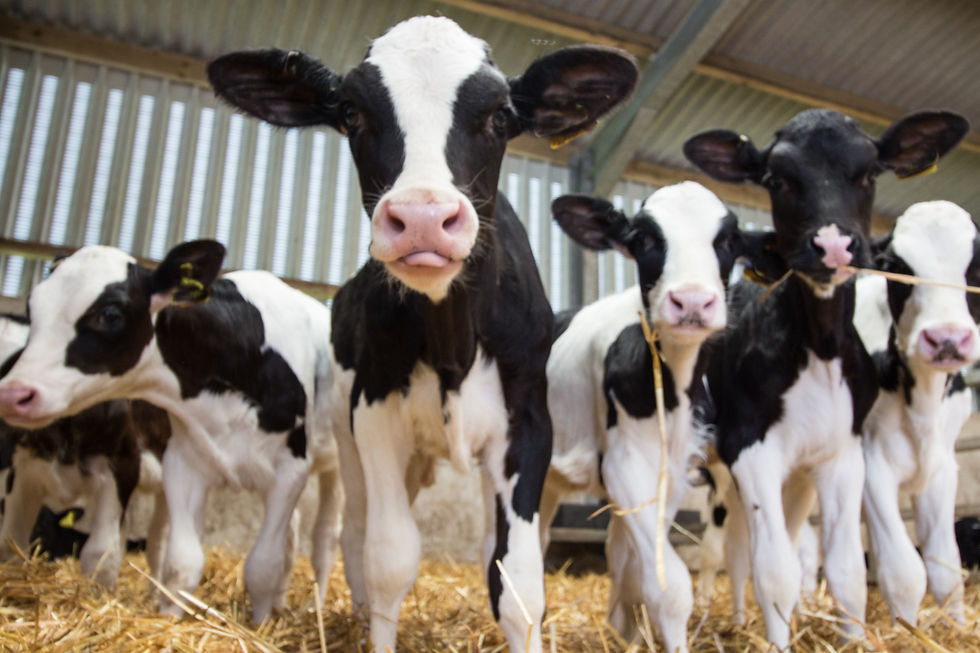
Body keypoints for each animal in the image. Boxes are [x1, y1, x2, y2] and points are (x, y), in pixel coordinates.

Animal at [0, 241, 343, 623]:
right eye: (32, 305)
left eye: (111, 314)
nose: (13, 393)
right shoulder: (183, 464)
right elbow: (182, 563)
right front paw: (169, 616)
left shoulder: (290, 471)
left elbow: (261, 565)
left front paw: (260, 624)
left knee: (324, 540)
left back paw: (312, 605)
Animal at [206, 16, 637, 652]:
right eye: (352, 112)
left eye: (501, 115)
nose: (424, 218)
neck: (452, 340)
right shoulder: (374, 413)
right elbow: (390, 559)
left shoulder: (528, 423)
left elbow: (518, 581)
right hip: (348, 436)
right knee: (356, 535)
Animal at [539, 181, 749, 651]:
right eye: (645, 239)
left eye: (728, 240)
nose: (692, 300)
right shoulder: (625, 465)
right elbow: (668, 587)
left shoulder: (670, 475)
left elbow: (634, 568)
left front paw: (626, 630)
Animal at [855, 200, 980, 626]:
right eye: (897, 266)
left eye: (975, 266)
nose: (947, 339)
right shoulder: (871, 464)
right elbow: (904, 571)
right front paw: (904, 630)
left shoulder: (941, 470)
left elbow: (946, 567)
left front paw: (955, 627)